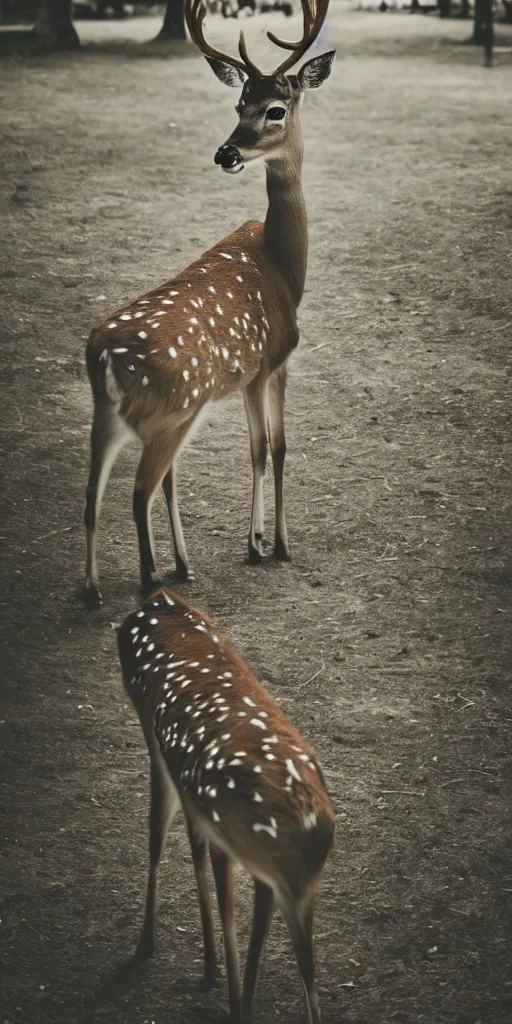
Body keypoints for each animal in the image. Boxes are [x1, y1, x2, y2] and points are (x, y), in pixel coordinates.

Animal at [83, 0, 335, 598]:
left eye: (274, 109)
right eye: (238, 103)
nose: (226, 152)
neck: (285, 269)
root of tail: (101, 355)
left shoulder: (246, 377)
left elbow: (257, 449)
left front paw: (259, 539)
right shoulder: (272, 360)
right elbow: (272, 448)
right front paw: (271, 544)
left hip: (117, 415)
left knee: (96, 492)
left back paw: (105, 584)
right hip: (170, 411)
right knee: (140, 489)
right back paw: (152, 576)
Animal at [117, 585, 335, 1024]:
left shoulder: (161, 753)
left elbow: (163, 840)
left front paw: (157, 949)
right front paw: (210, 970)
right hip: (298, 887)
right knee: (306, 963)